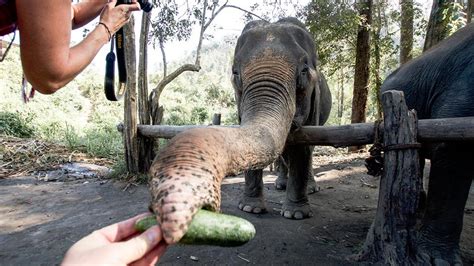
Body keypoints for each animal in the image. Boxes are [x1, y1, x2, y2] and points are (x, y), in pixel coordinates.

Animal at [234, 18, 334, 218]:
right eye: (235, 73)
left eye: (303, 71)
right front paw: (250, 208)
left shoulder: (314, 97)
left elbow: (303, 145)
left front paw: (295, 214)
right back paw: (281, 184)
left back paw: (310, 188)